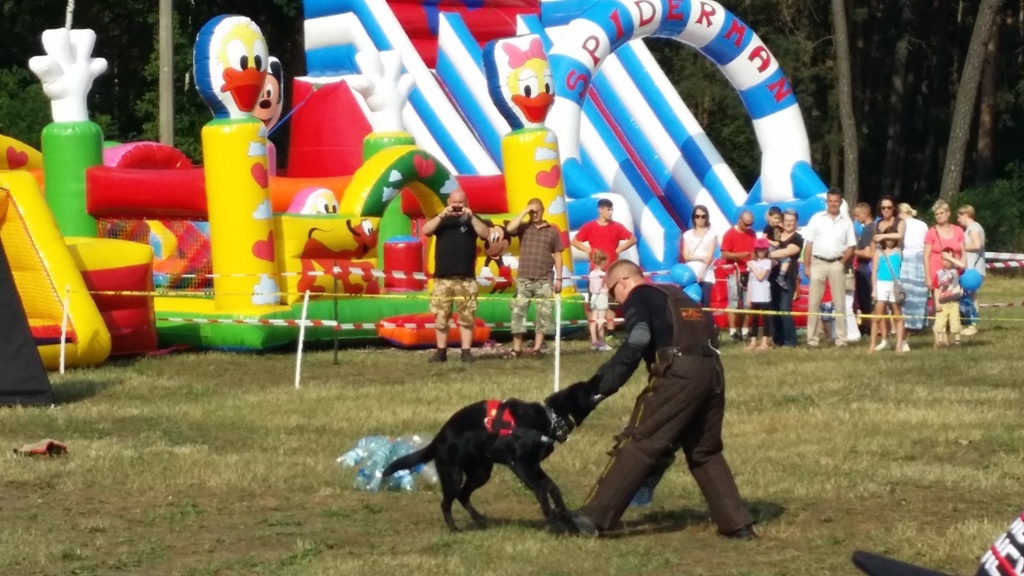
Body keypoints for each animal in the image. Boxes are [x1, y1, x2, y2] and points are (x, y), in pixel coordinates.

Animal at [382, 377, 602, 528]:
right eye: (586, 386)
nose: (599, 376)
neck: (550, 419)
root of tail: (439, 439)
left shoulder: (534, 465)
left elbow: (552, 487)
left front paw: (565, 517)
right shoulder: (520, 464)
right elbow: (540, 489)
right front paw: (552, 517)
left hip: (480, 472)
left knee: (463, 495)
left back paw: (480, 520)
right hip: (453, 475)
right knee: (446, 503)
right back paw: (454, 529)